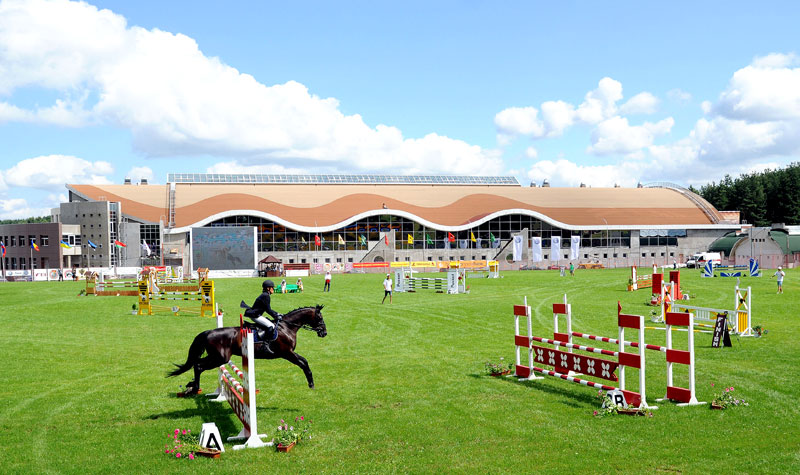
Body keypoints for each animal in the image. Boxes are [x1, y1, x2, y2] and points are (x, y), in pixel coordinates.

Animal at [167, 304, 326, 394]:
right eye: (320, 318)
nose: (324, 333)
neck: (286, 327)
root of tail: (208, 332)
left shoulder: (289, 353)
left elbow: (304, 361)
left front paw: (311, 383)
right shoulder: (287, 353)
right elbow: (303, 363)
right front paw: (311, 383)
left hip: (215, 357)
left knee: (196, 363)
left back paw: (191, 385)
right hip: (220, 358)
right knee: (199, 366)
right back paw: (194, 388)